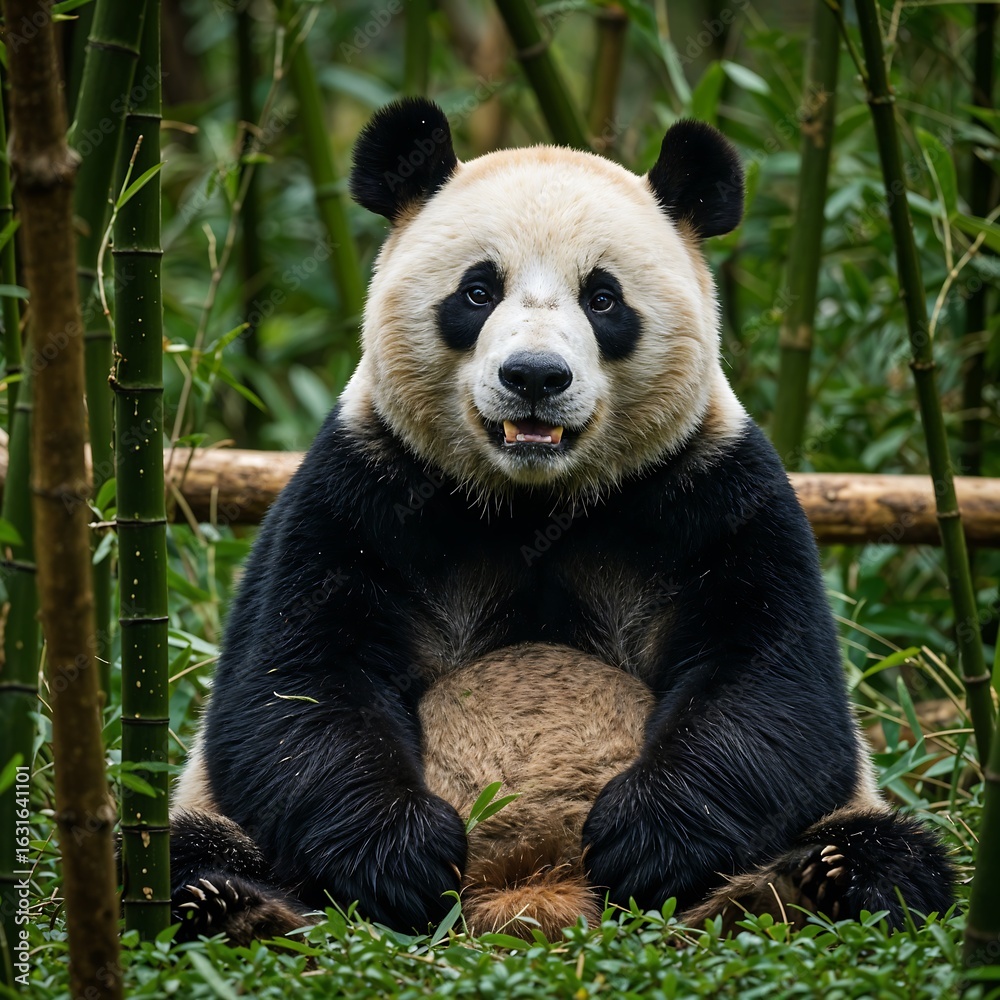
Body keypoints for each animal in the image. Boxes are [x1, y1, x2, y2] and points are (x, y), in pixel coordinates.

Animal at [168, 98, 953, 944]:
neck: (533, 498)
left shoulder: (714, 490)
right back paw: (223, 900)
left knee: (895, 851)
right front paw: (405, 856)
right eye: (478, 291)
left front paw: (643, 837)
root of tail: (530, 893)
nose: (535, 377)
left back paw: (810, 885)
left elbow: (775, 689)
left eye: (603, 298)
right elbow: (291, 691)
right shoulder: (361, 487)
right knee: (173, 847)